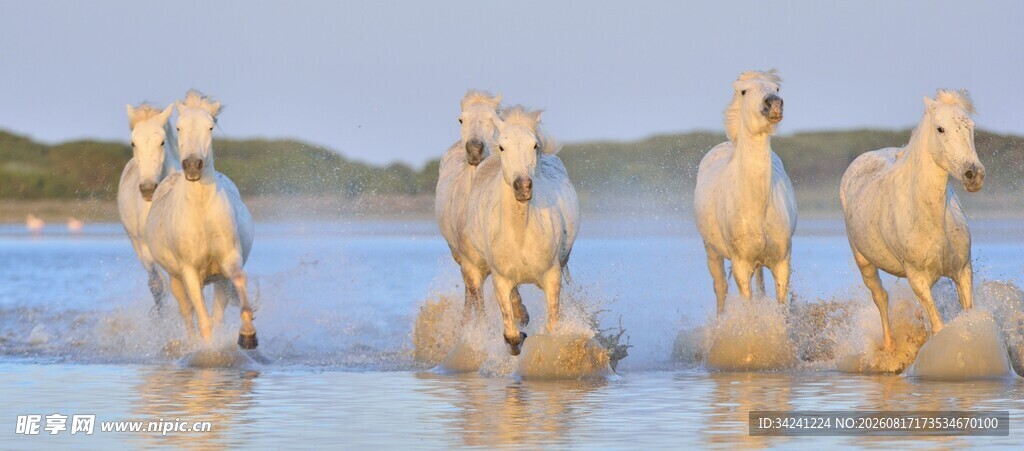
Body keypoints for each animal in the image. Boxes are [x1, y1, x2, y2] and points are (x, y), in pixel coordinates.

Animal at [145, 90, 258, 349]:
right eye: (178, 127)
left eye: (210, 127)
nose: (192, 166)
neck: (201, 214)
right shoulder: (188, 271)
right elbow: (202, 320)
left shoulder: (229, 260)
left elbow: (240, 279)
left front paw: (248, 334)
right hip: (175, 279)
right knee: (188, 312)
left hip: (220, 282)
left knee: (217, 312)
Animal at [434, 91, 529, 326]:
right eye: (461, 119)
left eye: (494, 119)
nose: (475, 149)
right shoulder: (471, 266)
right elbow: (479, 303)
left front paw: (521, 314)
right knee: (469, 293)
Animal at [465, 106, 580, 355]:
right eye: (502, 146)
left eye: (534, 145)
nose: (523, 187)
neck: (521, 233)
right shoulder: (501, 279)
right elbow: (511, 333)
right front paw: (520, 335)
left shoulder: (552, 275)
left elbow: (552, 324)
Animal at [693, 70, 797, 314]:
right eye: (743, 91)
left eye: (776, 88)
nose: (774, 104)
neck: (756, 207)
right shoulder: (741, 264)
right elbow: (748, 309)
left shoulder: (782, 262)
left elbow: (781, 308)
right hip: (712, 251)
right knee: (720, 288)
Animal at [840, 89, 983, 350]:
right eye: (940, 129)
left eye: (971, 126)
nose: (974, 174)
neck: (931, 219)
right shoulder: (917, 279)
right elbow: (938, 326)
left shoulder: (963, 271)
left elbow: (967, 316)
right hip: (864, 262)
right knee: (880, 297)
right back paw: (889, 346)